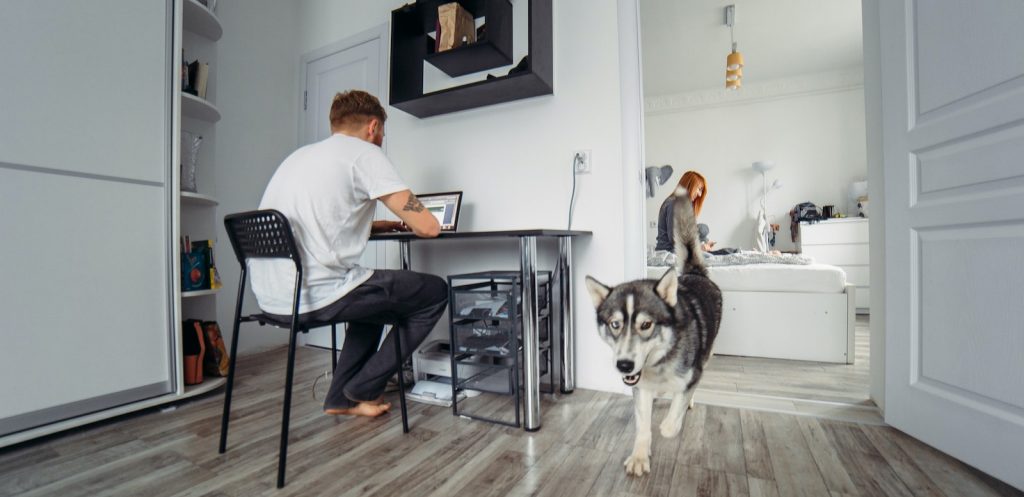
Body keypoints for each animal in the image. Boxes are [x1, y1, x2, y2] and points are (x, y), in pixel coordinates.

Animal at [585, 186, 720, 477]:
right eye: (615, 325)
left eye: (646, 325)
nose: (624, 365)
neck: (659, 363)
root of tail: (695, 273)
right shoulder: (641, 388)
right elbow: (642, 426)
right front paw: (639, 456)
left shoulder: (690, 375)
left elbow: (673, 414)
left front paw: (670, 424)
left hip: (707, 355)